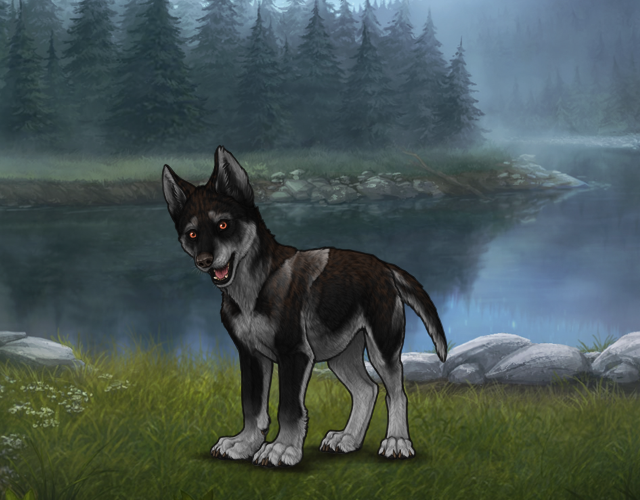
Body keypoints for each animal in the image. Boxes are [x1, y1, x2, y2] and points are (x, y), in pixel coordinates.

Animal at [162, 146, 447, 467]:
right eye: (192, 234)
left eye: (223, 225)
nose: (205, 261)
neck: (256, 286)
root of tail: (385, 267)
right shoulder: (251, 356)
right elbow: (251, 405)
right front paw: (245, 443)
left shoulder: (294, 355)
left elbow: (289, 407)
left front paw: (281, 448)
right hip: (341, 356)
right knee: (367, 390)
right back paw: (347, 439)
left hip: (382, 350)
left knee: (396, 393)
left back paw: (397, 442)